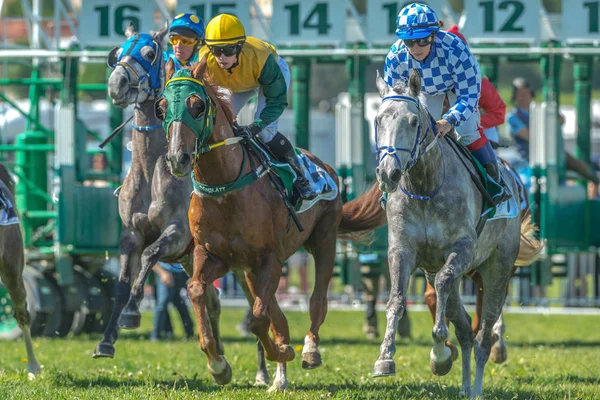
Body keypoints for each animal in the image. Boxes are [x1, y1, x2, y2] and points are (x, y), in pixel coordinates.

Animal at [92, 23, 270, 386]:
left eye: (149, 53)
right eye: (117, 53)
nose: (116, 84)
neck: (153, 168)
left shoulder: (176, 232)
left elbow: (149, 255)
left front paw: (132, 313)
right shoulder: (131, 234)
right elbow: (121, 283)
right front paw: (106, 341)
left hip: (240, 264)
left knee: (253, 306)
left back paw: (261, 371)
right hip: (197, 261)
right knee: (213, 301)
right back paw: (219, 356)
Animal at [158, 59, 384, 390]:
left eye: (197, 106)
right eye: (161, 109)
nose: (178, 158)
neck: (226, 188)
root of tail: (324, 166)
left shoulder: (270, 259)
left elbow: (258, 317)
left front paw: (283, 351)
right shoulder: (213, 256)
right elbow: (198, 290)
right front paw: (218, 365)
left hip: (323, 240)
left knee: (317, 301)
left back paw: (309, 350)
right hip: (250, 271)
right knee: (280, 316)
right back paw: (280, 375)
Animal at [372, 70, 540, 398]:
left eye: (414, 121)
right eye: (378, 120)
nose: (388, 174)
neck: (425, 186)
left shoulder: (461, 249)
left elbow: (443, 284)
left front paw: (438, 351)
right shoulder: (402, 249)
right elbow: (397, 299)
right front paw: (385, 358)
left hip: (498, 269)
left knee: (483, 333)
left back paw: (476, 386)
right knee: (463, 328)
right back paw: (462, 383)